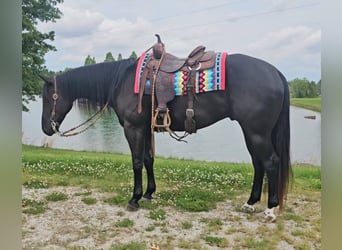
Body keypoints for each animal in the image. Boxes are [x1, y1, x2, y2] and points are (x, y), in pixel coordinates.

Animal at [40, 48, 292, 221]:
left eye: (47, 98)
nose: (46, 128)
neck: (121, 81)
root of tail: (275, 72)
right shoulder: (145, 129)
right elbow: (148, 160)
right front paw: (149, 193)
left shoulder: (133, 128)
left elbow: (137, 162)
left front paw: (134, 199)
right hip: (252, 132)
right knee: (258, 164)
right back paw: (250, 203)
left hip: (257, 132)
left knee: (270, 163)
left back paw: (270, 209)